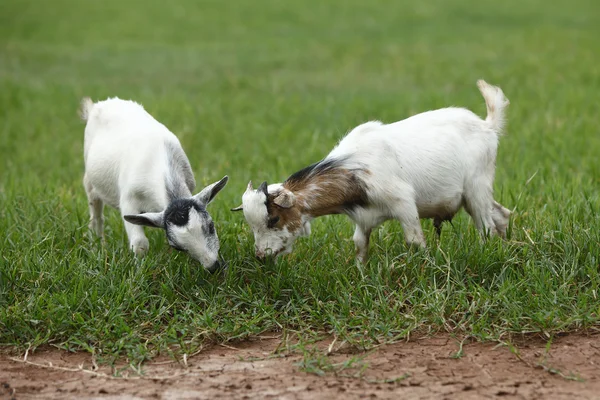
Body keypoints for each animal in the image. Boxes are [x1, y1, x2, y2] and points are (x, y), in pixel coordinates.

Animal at [79, 97, 227, 272]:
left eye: (211, 226)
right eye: (177, 246)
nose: (213, 267)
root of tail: (97, 106)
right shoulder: (128, 202)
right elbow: (140, 244)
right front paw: (139, 270)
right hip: (89, 181)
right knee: (96, 215)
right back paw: (98, 245)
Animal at [234, 81, 510, 262]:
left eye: (273, 219)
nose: (260, 255)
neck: (354, 170)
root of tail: (487, 126)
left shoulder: (403, 203)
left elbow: (414, 241)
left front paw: (424, 268)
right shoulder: (363, 218)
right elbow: (360, 245)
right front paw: (361, 274)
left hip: (476, 188)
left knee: (486, 225)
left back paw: (486, 252)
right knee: (502, 215)